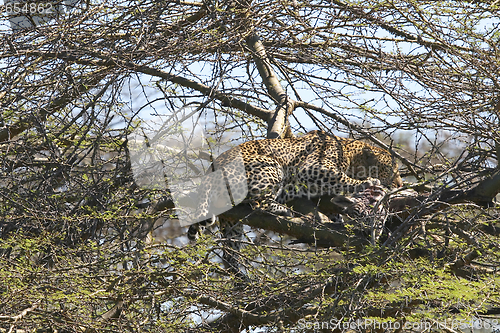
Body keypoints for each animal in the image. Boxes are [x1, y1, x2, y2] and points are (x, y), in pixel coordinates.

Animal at [187, 128, 402, 240]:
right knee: (257, 203)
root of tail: (209, 172)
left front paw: (339, 217)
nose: (400, 184)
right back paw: (282, 209)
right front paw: (365, 182)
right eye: (392, 170)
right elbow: (340, 178)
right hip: (271, 166)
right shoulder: (312, 167)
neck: (349, 153)